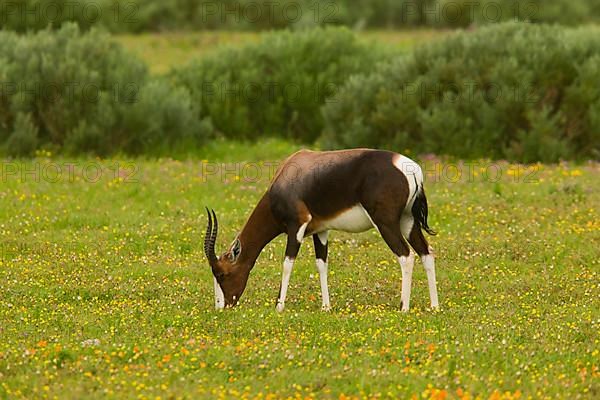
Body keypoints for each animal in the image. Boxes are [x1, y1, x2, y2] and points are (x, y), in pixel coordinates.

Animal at [204, 148, 438, 310]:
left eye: (221, 274)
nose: (222, 306)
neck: (289, 174)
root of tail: (411, 169)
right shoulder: (320, 231)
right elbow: (321, 265)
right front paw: (326, 307)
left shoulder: (296, 226)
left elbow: (287, 263)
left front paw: (279, 306)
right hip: (408, 221)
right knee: (426, 253)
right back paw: (434, 306)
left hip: (386, 223)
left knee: (406, 256)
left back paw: (403, 307)